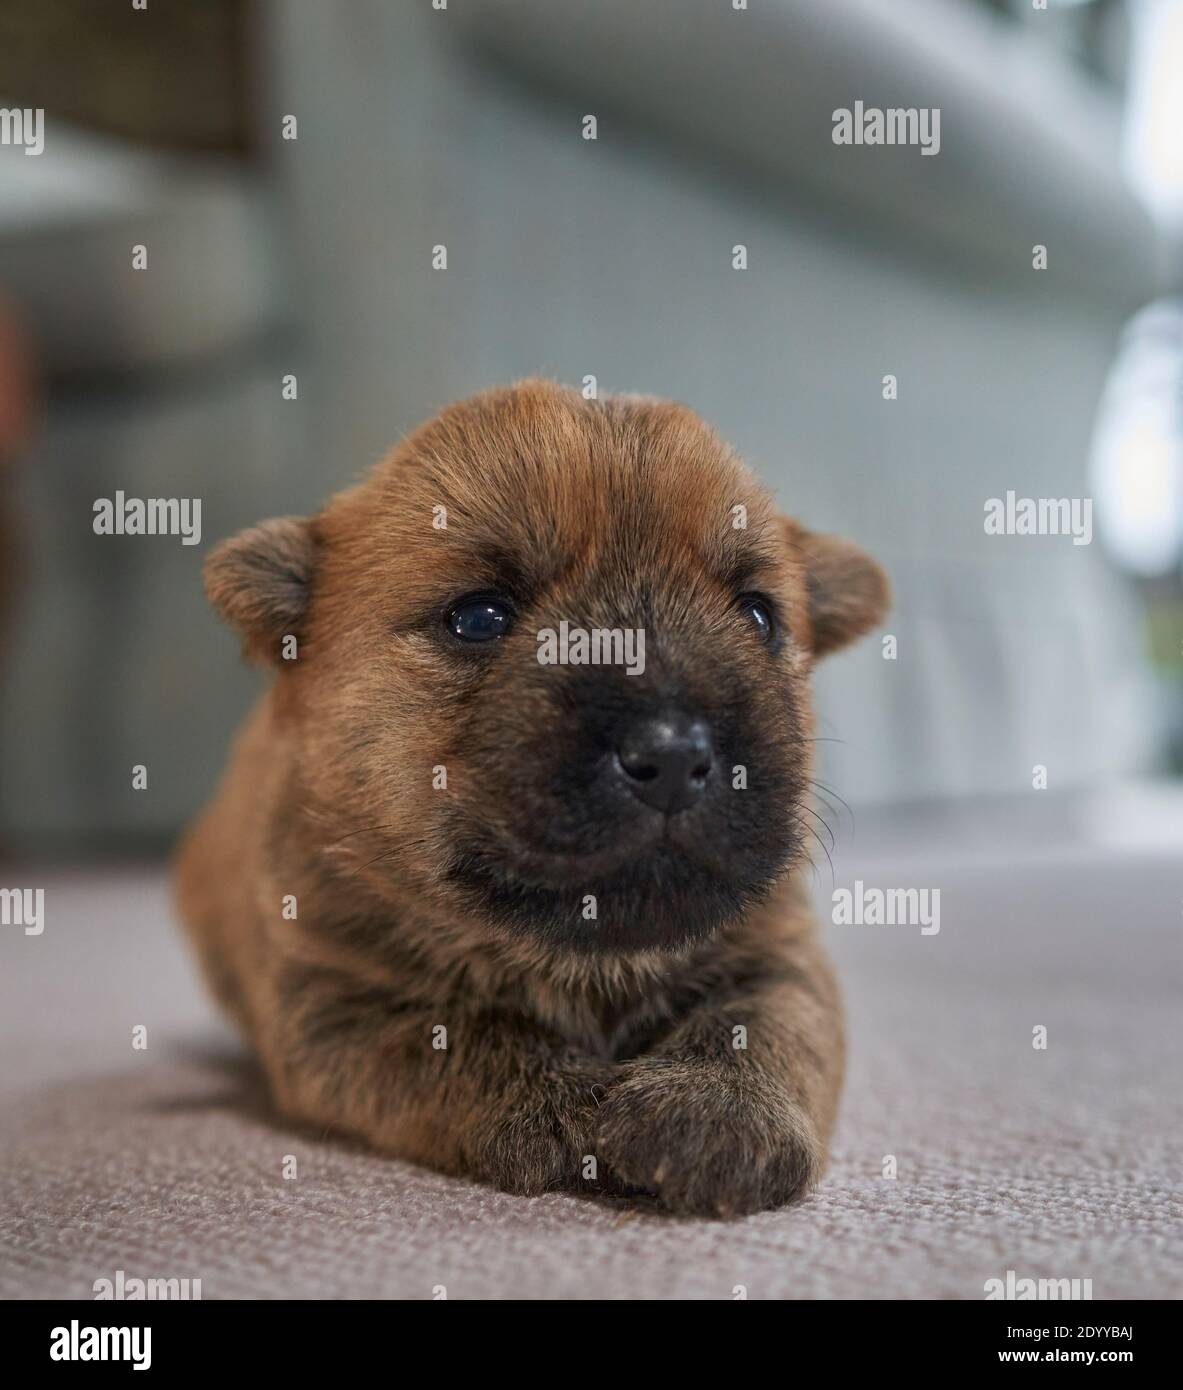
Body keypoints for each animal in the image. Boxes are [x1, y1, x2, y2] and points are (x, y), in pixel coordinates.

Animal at [177, 380, 889, 1217]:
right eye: (478, 617)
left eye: (756, 613)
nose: (672, 753)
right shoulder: (329, 1002)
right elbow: (464, 1033)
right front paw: (569, 1106)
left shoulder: (778, 951)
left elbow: (766, 1023)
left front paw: (716, 1113)